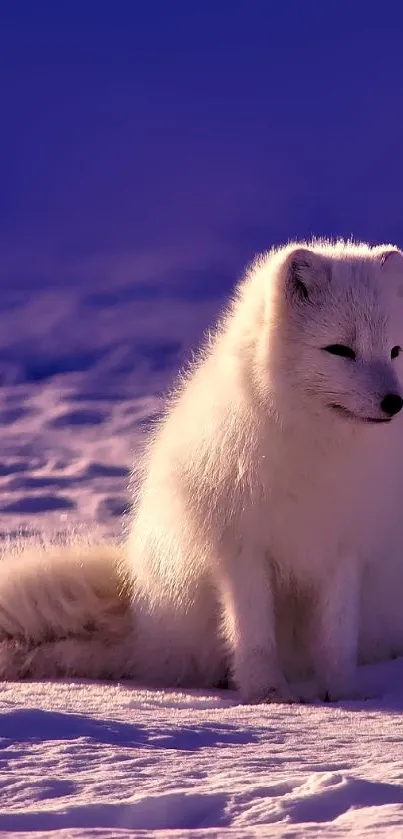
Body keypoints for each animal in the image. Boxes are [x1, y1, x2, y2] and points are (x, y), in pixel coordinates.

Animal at [2, 240, 403, 704]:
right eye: (340, 350)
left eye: (395, 351)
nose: (394, 402)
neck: (317, 450)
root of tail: (142, 621)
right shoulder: (241, 549)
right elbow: (253, 634)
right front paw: (268, 694)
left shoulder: (344, 550)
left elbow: (337, 637)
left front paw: (342, 695)